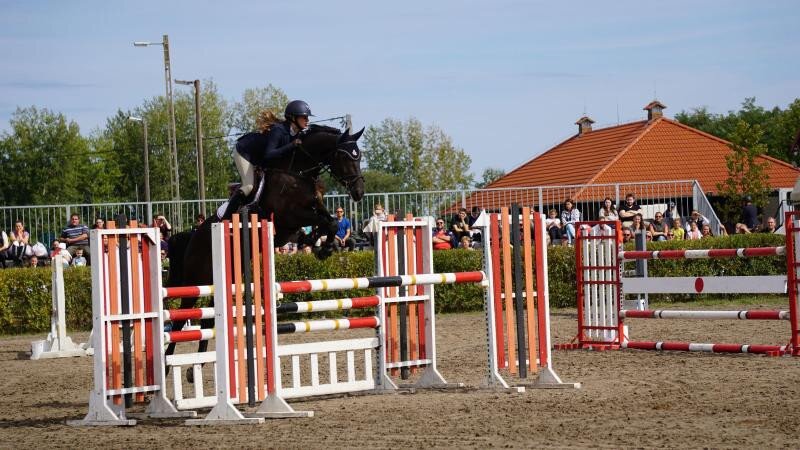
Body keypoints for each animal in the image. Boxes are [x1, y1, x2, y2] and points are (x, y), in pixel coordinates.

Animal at [165, 124, 366, 375]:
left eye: (359, 156)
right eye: (345, 157)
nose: (359, 192)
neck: (298, 175)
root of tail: (192, 237)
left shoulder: (296, 224)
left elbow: (330, 222)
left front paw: (323, 246)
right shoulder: (289, 217)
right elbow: (325, 222)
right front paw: (324, 246)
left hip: (224, 279)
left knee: (208, 320)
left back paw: (197, 368)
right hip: (197, 281)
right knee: (180, 319)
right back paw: (166, 366)